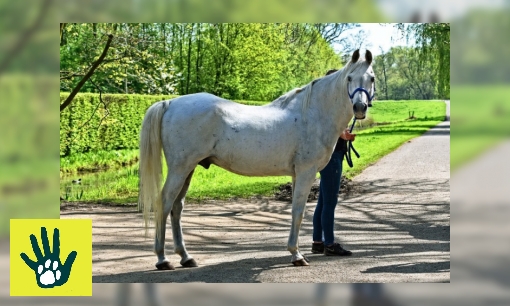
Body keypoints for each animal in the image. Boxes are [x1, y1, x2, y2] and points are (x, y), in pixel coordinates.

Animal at [139, 49, 374, 268]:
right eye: (349, 78)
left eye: (371, 78)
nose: (359, 108)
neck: (313, 113)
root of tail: (170, 103)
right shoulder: (306, 172)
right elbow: (298, 212)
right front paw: (296, 255)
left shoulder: (297, 174)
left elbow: (295, 212)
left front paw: (295, 251)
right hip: (180, 169)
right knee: (165, 203)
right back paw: (162, 259)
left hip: (188, 169)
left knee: (177, 208)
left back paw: (186, 257)